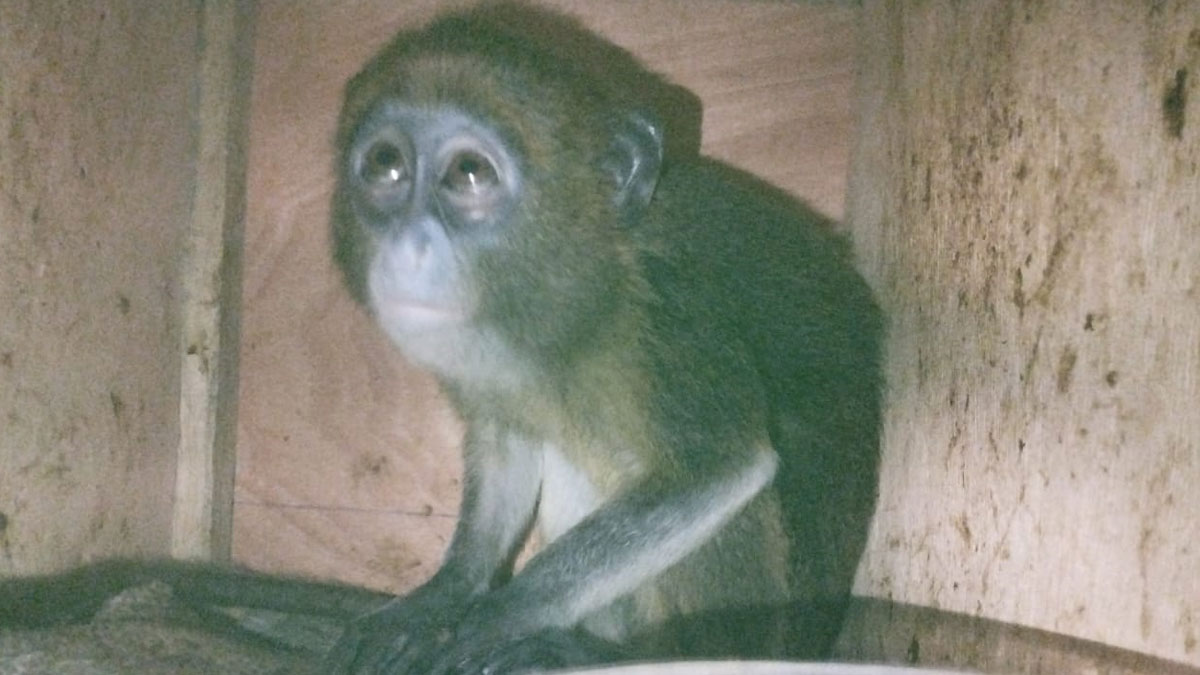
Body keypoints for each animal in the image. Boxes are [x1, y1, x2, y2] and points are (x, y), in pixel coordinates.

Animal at [324, 4, 883, 675]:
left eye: (468, 173)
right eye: (386, 165)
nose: (409, 247)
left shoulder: (670, 319)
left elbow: (723, 471)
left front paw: (500, 616)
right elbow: (507, 440)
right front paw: (443, 596)